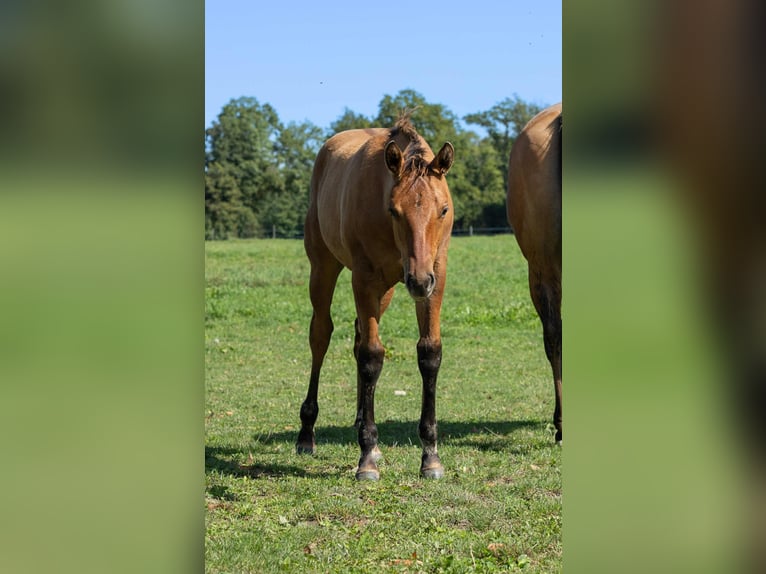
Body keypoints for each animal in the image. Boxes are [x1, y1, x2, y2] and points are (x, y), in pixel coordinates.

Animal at [296, 113, 455, 481]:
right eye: (393, 210)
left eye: (443, 210)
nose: (418, 280)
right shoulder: (364, 279)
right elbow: (371, 356)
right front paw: (366, 456)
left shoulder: (435, 278)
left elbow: (429, 353)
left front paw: (431, 456)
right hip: (323, 266)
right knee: (321, 334)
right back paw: (307, 433)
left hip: (388, 289)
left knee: (357, 335)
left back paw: (359, 423)